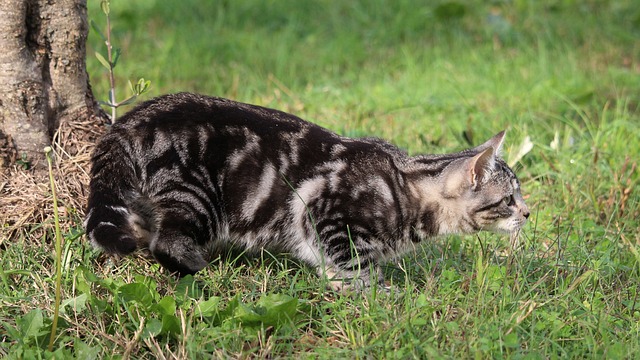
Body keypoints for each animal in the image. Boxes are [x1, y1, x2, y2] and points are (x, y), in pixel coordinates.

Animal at [82, 92, 528, 290]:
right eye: (509, 199)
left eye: (520, 197)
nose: (528, 213)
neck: (405, 184)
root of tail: (130, 121)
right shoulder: (323, 211)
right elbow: (359, 272)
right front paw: (383, 296)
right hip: (197, 198)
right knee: (167, 243)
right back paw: (202, 271)